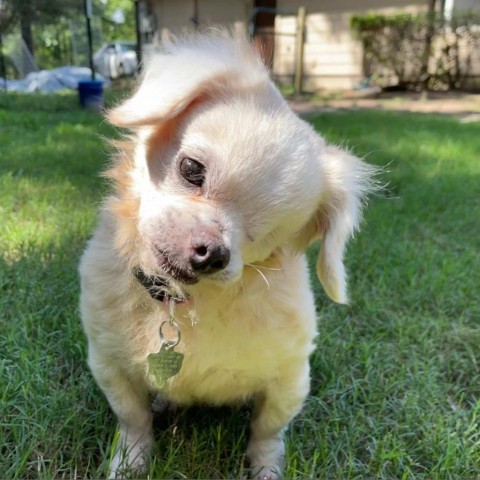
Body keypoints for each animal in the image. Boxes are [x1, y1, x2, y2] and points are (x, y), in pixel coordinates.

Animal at [80, 31, 376, 478]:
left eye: (265, 236)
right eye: (191, 169)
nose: (211, 252)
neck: (185, 302)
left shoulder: (290, 379)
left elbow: (267, 432)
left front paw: (267, 469)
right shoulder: (109, 365)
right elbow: (134, 420)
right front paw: (128, 465)